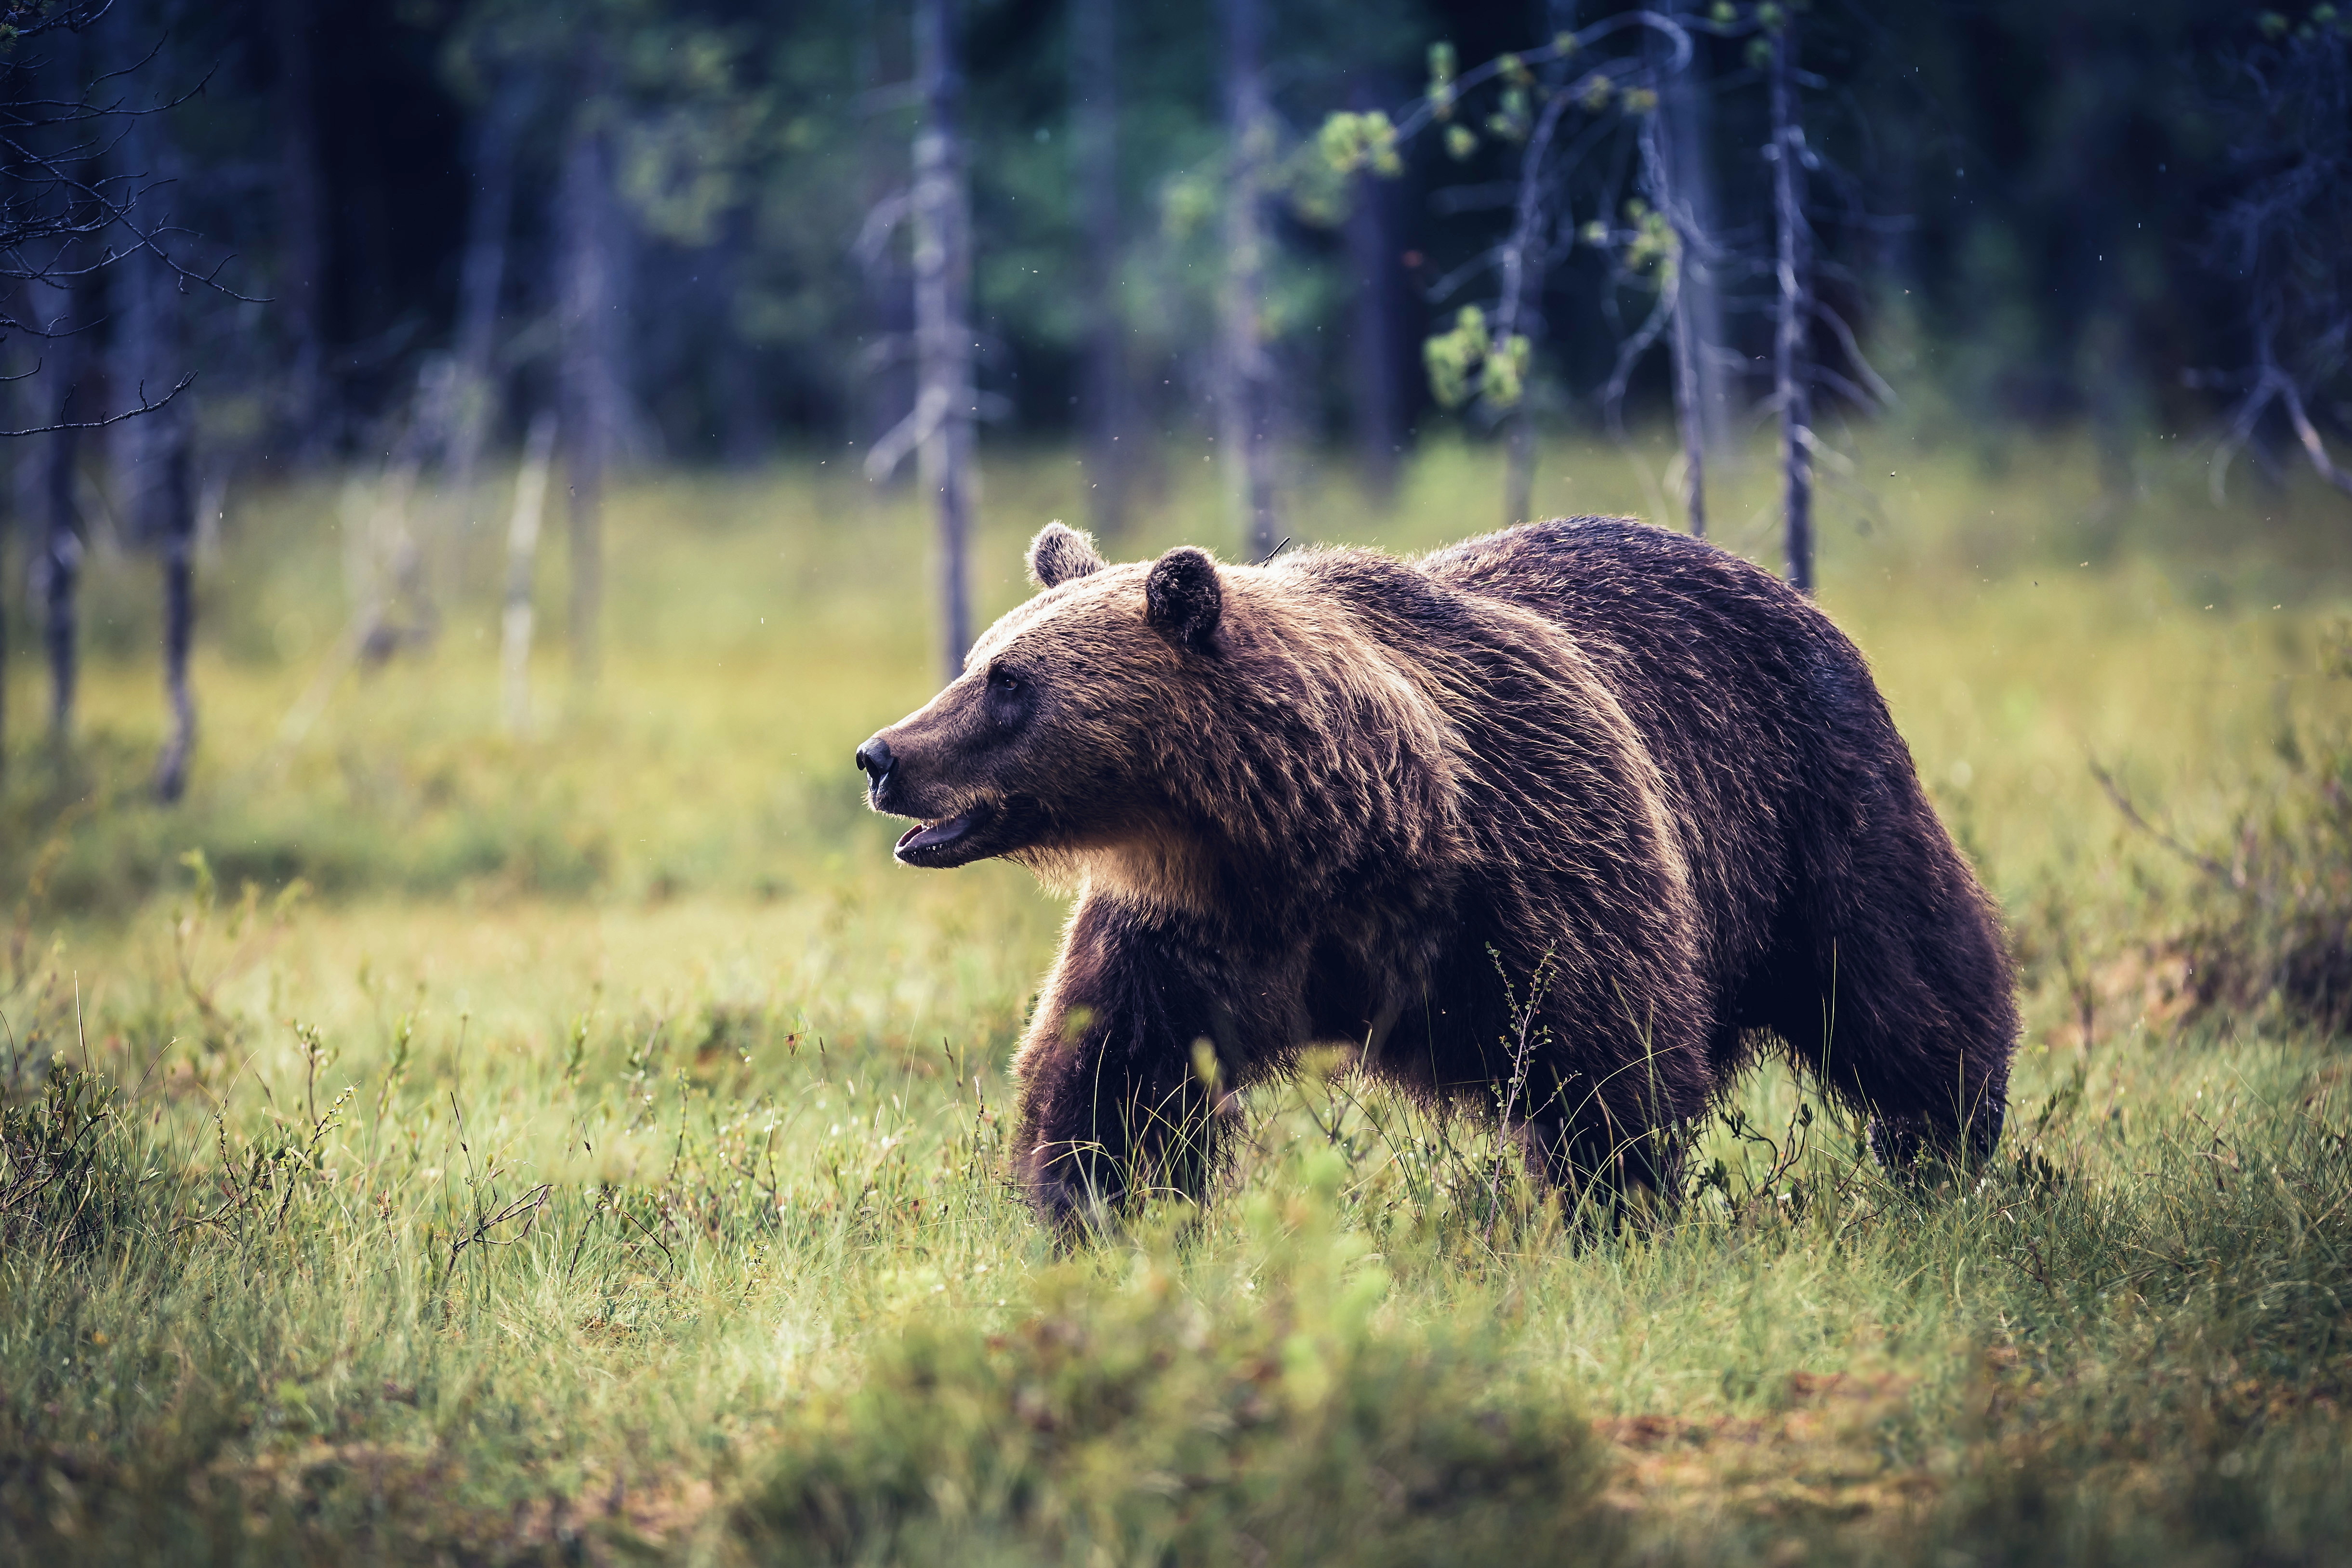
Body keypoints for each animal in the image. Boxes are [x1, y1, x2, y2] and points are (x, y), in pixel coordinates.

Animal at [855, 517, 2017, 1226]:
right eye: (979, 660)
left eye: (1009, 683)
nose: (881, 755)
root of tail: (1785, 587)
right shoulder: (1190, 926)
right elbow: (1112, 1075)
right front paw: (1095, 1210)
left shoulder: (1538, 856)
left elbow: (1609, 1063)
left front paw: (1611, 1214)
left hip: (1814, 803)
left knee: (1903, 985)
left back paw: (1948, 1146)